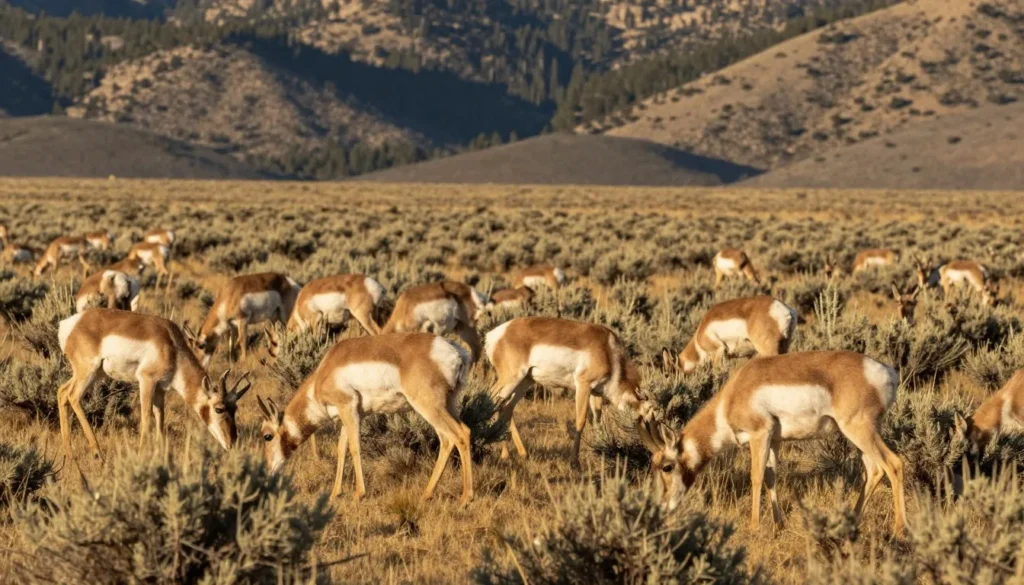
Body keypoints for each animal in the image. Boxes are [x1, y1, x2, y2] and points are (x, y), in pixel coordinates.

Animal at [56, 308, 251, 461]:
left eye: (235, 409)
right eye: (219, 408)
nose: (231, 443)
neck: (172, 346)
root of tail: (71, 323)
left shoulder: (160, 389)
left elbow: (160, 418)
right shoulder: (147, 381)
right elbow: (146, 417)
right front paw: (142, 454)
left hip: (94, 374)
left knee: (62, 392)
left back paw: (69, 453)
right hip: (87, 373)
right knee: (73, 396)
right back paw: (96, 451)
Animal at [257, 332, 473, 503]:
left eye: (267, 436)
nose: (268, 472)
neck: (324, 372)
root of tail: (453, 350)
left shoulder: (348, 409)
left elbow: (354, 447)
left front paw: (359, 493)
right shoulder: (348, 416)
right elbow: (341, 449)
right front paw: (335, 493)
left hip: (429, 407)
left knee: (460, 434)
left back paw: (465, 498)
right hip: (447, 405)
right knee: (450, 438)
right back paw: (427, 494)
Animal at [484, 317, 654, 467]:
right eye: (645, 417)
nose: (652, 449)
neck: (608, 349)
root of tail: (495, 334)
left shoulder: (595, 393)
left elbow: (597, 420)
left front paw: (602, 451)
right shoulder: (583, 385)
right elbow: (581, 421)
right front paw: (574, 462)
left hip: (525, 382)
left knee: (506, 408)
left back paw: (517, 453)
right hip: (511, 379)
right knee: (491, 401)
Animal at [637, 350, 906, 535]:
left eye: (667, 466)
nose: (663, 507)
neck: (732, 395)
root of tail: (887, 372)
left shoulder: (760, 435)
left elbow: (755, 477)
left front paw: (754, 526)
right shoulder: (775, 440)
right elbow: (770, 477)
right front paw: (779, 524)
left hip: (859, 431)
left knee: (893, 464)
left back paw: (898, 530)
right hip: (862, 435)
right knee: (873, 469)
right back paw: (851, 522)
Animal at [666, 296, 797, 374]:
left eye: (669, 372)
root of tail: (785, 309)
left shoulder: (718, 351)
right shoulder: (747, 356)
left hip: (768, 350)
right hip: (784, 346)